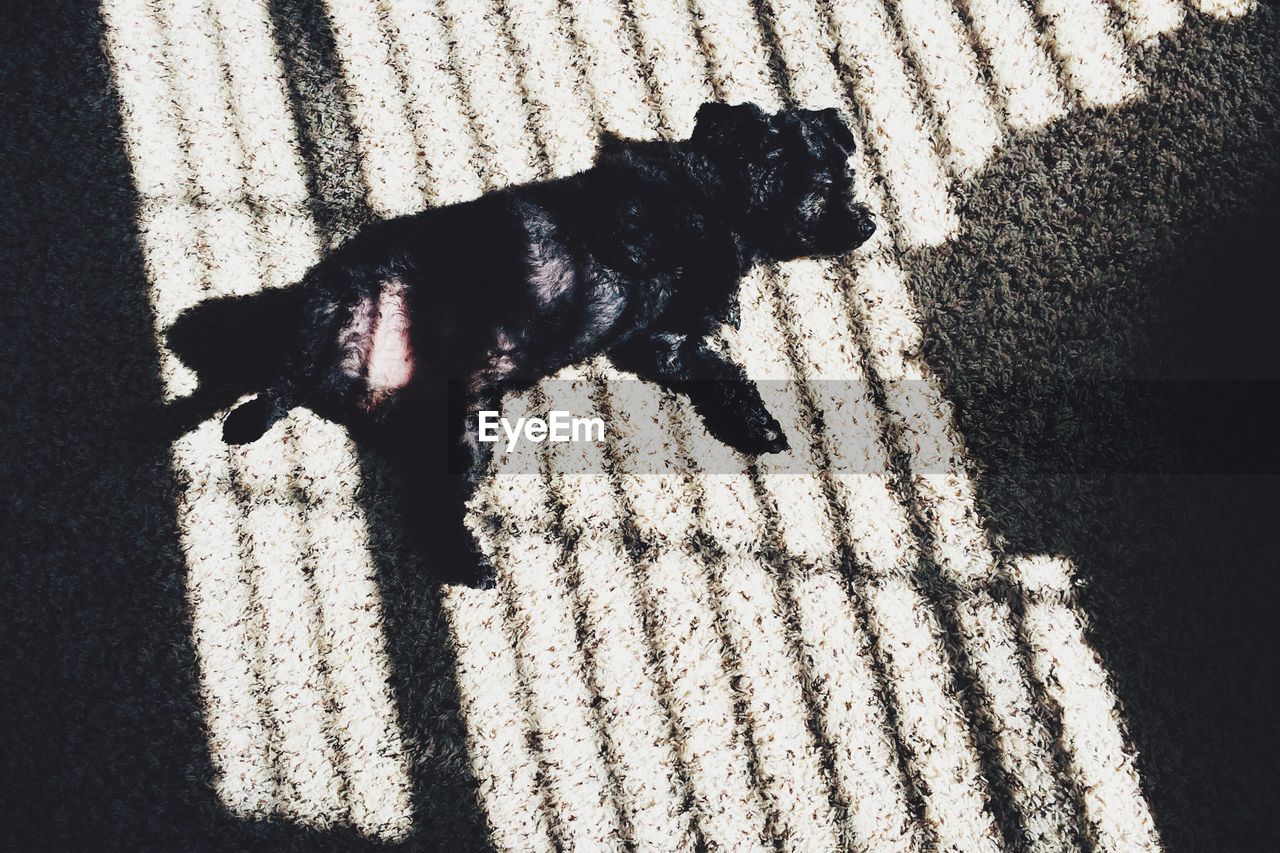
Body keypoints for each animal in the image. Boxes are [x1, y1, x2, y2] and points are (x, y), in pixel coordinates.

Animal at [225, 97, 875, 578]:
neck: (720, 195)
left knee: (432, 505)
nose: (869, 222)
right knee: (282, 381)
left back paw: (466, 561)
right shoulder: (641, 242)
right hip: (334, 304)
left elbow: (721, 370)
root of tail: (365, 388)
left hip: (466, 428)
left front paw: (756, 422)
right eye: (831, 184)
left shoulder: (664, 341)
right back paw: (247, 419)